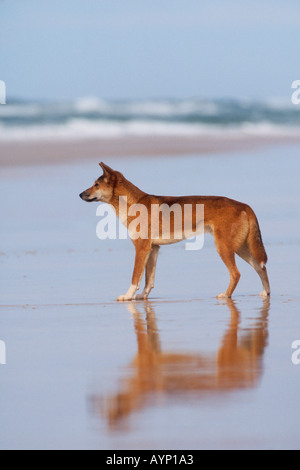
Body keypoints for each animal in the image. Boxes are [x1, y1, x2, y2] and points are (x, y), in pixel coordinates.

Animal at [79, 163, 270, 300]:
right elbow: (149, 279)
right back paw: (265, 292)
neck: (133, 204)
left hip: (224, 247)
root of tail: (244, 205)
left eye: (96, 185)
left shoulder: (141, 248)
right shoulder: (153, 249)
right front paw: (143, 296)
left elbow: (135, 277)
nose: (80, 194)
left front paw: (127, 296)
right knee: (261, 268)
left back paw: (226, 295)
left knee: (236, 273)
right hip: (242, 248)